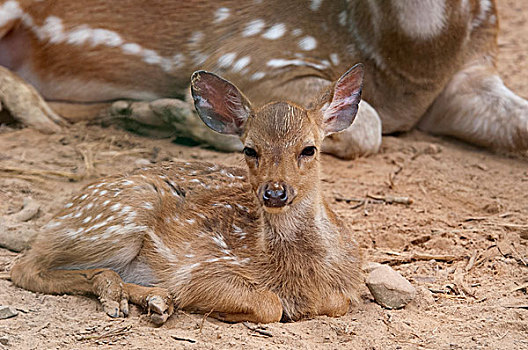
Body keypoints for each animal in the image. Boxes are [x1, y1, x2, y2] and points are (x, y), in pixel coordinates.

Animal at [12, 66, 366, 326]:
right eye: (249, 149)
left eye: (309, 149)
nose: (275, 192)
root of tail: (56, 218)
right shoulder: (202, 270)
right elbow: (270, 304)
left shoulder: (343, 291)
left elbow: (336, 302)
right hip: (120, 215)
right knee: (25, 267)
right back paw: (131, 295)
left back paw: (156, 301)